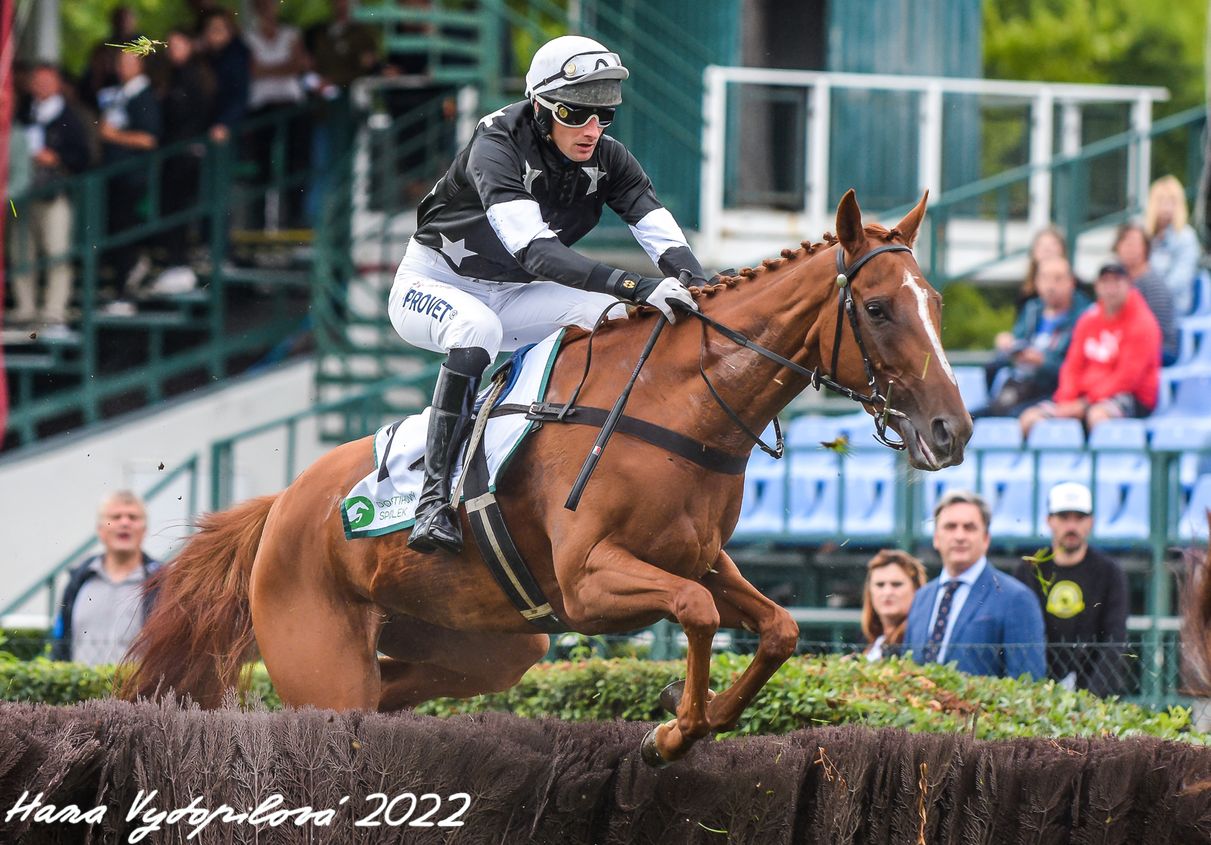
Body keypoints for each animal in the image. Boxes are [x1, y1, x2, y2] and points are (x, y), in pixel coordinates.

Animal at [125, 191, 973, 765]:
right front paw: (675, 725)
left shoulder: (696, 557)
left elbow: (778, 628)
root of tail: (281, 507)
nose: (952, 430)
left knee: (393, 690)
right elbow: (697, 612)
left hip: (486, 645)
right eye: (876, 308)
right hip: (322, 662)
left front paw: (695, 718)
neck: (680, 404)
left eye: (935, 303)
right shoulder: (591, 581)